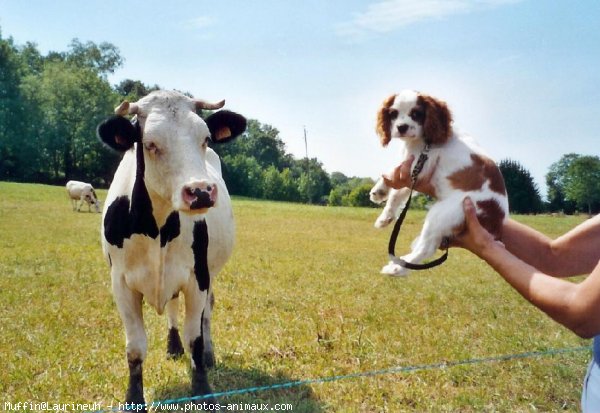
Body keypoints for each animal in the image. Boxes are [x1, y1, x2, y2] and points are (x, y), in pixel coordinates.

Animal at [97, 87, 247, 408]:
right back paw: (173, 345)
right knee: (174, 307)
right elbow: (135, 348)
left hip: (209, 274)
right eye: (150, 144)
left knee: (206, 313)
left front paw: (203, 390)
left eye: (205, 138)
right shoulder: (121, 283)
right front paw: (133, 399)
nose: (200, 192)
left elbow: (195, 337)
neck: (158, 229)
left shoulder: (197, 277)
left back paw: (208, 354)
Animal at [370, 90, 506, 276]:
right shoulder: (413, 173)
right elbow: (397, 194)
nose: (401, 127)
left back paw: (396, 268)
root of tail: (494, 225)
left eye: (416, 114)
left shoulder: (419, 163)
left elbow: (392, 172)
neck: (420, 141)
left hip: (441, 214)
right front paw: (385, 215)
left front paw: (381, 188)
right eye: (393, 114)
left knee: (425, 249)